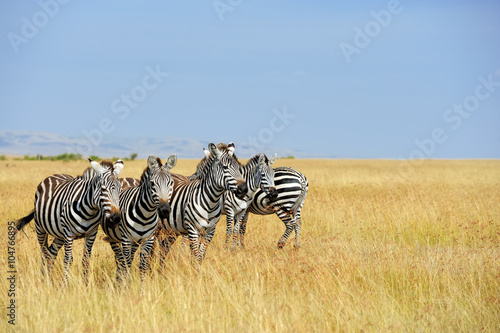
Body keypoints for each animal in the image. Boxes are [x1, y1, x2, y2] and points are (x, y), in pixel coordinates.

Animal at [102, 154, 177, 286]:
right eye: (153, 183)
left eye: (171, 183)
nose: (164, 210)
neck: (145, 216)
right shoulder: (126, 239)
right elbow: (127, 265)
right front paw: (126, 287)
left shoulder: (148, 239)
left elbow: (143, 266)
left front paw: (142, 288)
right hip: (114, 238)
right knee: (120, 260)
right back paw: (118, 282)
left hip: (135, 242)